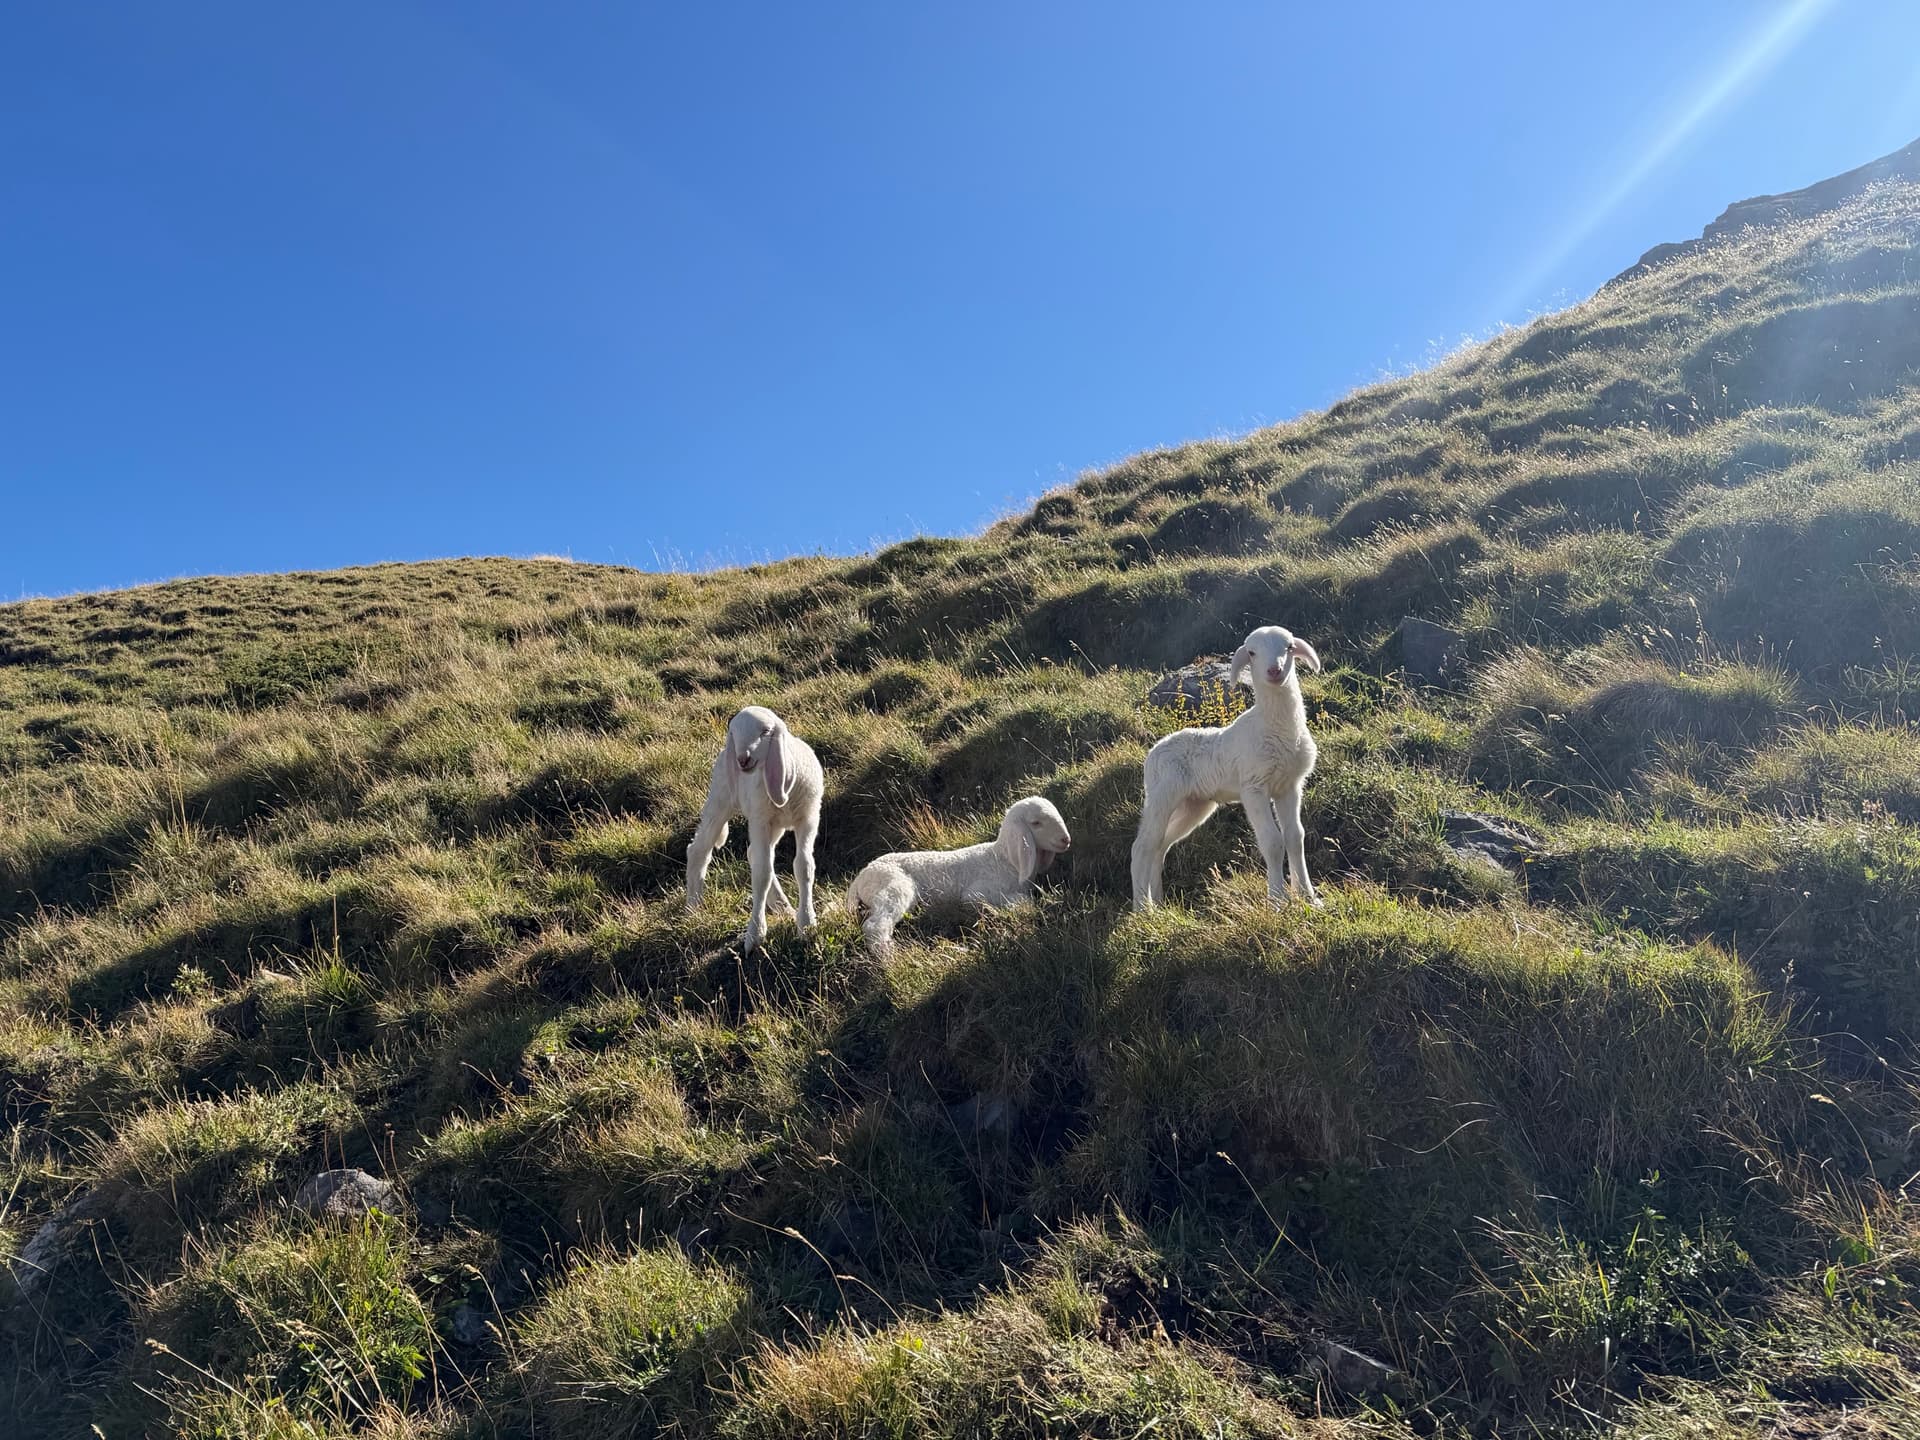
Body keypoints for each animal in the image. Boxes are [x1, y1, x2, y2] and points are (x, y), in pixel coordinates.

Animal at [686, 705, 825, 952]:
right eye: (733, 733)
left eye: (766, 731)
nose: (742, 759)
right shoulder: (759, 821)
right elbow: (762, 874)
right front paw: (756, 933)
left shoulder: (808, 817)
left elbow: (804, 866)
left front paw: (807, 924)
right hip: (720, 801)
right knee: (698, 851)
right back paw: (693, 907)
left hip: (774, 824)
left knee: (753, 854)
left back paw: (783, 907)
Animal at [843, 796, 1072, 957]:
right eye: (1036, 823)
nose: (1066, 840)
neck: (1005, 860)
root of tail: (861, 877)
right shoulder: (975, 894)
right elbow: (1020, 900)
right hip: (893, 887)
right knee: (874, 926)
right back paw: (889, 956)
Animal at [1131, 624, 1323, 911]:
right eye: (1252, 653)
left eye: (1289, 647)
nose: (1274, 671)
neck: (1276, 727)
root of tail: (1153, 751)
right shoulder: (1254, 786)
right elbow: (1272, 842)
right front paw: (1278, 901)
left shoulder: (1289, 786)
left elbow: (1295, 838)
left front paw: (1309, 898)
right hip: (1162, 794)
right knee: (1142, 847)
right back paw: (1143, 909)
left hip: (1194, 804)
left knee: (1160, 845)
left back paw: (1159, 902)